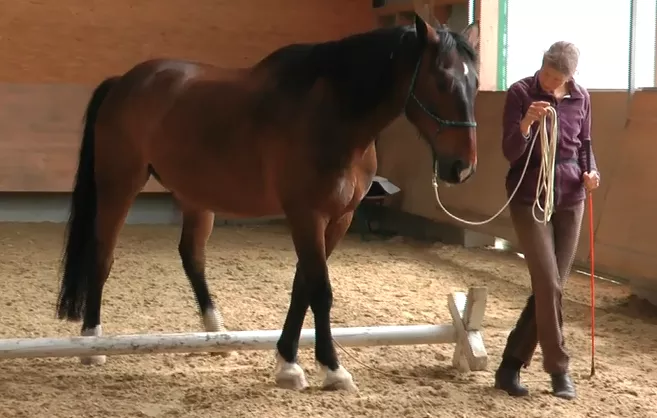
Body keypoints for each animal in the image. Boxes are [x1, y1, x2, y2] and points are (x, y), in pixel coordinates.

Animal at [55, 14, 480, 392]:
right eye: (441, 80)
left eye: (475, 82)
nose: (462, 168)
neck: (332, 115)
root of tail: (123, 82)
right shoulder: (307, 215)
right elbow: (320, 291)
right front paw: (332, 370)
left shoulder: (337, 220)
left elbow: (302, 287)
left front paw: (287, 362)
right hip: (119, 186)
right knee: (103, 256)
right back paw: (93, 343)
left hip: (195, 195)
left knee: (191, 256)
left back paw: (216, 332)